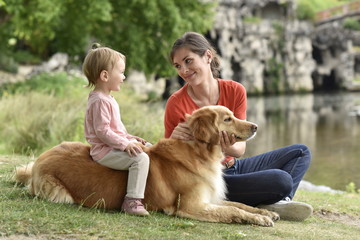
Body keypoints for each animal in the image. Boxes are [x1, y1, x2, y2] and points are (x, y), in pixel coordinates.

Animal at [14, 105, 280, 227]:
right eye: (227, 119)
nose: (255, 126)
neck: (199, 152)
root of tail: (40, 160)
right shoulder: (190, 206)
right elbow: (233, 211)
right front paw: (259, 219)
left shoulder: (210, 198)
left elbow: (239, 204)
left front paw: (265, 213)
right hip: (61, 194)